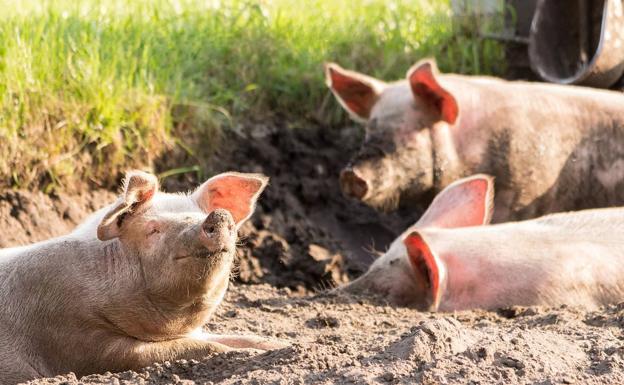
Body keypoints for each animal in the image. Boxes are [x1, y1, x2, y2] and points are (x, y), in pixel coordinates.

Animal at [1, 170, 284, 382]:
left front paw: (278, 346)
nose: (219, 215)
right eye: (153, 229)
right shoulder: (78, 340)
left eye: (200, 215)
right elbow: (199, 348)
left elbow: (240, 337)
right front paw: (246, 353)